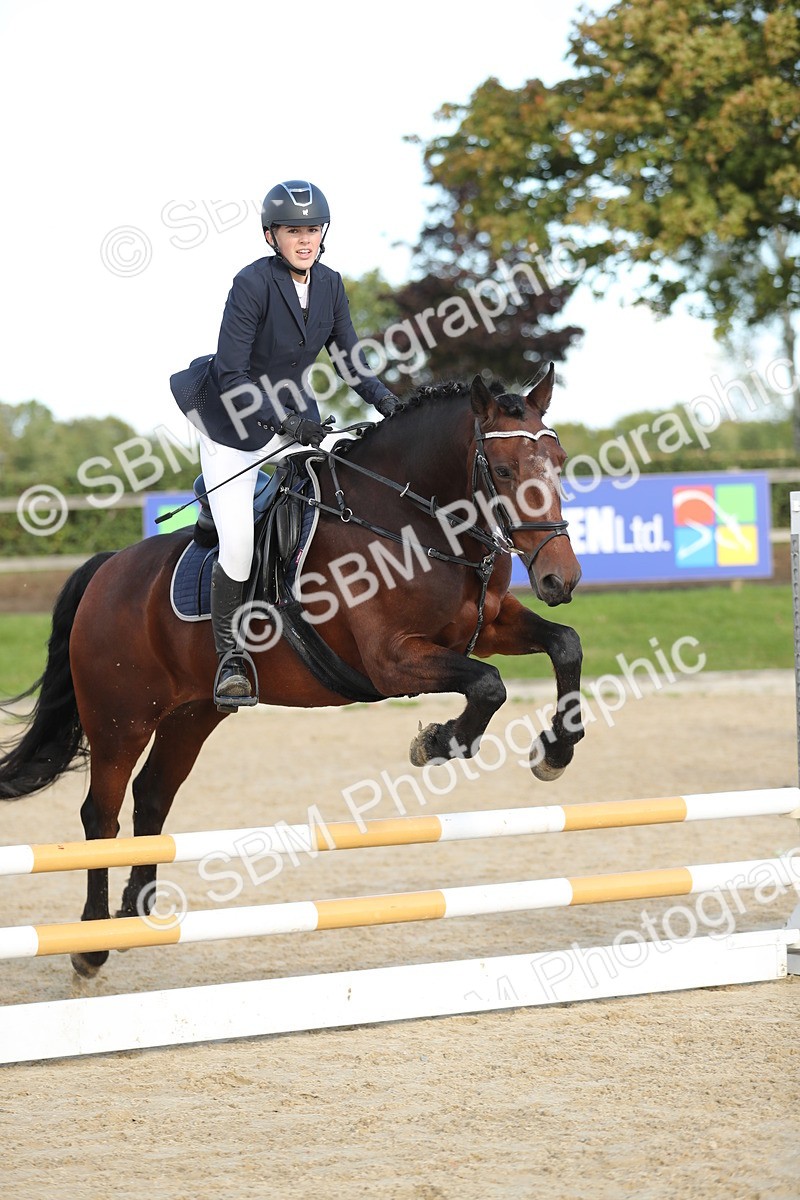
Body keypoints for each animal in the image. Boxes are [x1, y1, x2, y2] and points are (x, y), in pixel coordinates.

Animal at [0, 365, 584, 977]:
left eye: (560, 460)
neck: (412, 522)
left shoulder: (487, 628)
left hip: (192, 713)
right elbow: (488, 685)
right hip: (120, 719)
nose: (560, 578)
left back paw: (138, 914)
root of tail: (106, 569)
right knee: (102, 815)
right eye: (502, 469)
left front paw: (555, 752)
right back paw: (90, 943)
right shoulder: (391, 660)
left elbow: (564, 645)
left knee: (153, 795)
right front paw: (438, 742)